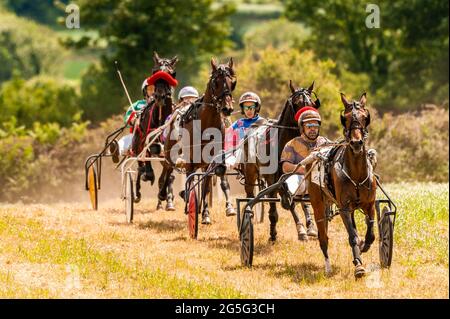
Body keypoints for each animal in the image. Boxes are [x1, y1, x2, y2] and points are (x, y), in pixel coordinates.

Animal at [130, 51, 178, 211]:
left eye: (171, 73)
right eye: (154, 72)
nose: (159, 96)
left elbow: (168, 173)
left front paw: (165, 197)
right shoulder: (146, 138)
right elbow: (148, 151)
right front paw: (148, 174)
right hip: (136, 143)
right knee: (140, 163)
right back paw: (139, 189)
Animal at [158, 57, 236, 224]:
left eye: (232, 82)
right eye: (216, 82)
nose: (227, 108)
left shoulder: (212, 160)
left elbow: (210, 182)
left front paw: (208, 213)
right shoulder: (190, 161)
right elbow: (190, 182)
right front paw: (191, 205)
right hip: (170, 153)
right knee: (168, 170)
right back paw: (164, 194)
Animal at [237, 80, 322, 242]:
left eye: (312, 104)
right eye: (297, 103)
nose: (309, 120)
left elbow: (301, 199)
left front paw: (310, 227)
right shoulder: (274, 179)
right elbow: (286, 203)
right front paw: (298, 230)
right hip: (250, 172)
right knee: (251, 193)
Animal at [308, 92, 378, 278]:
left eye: (365, 117)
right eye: (344, 118)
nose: (356, 143)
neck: (356, 173)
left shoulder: (369, 205)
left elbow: (370, 234)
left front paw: (363, 246)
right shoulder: (344, 208)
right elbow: (352, 236)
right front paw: (359, 266)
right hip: (318, 205)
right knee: (323, 238)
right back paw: (328, 267)